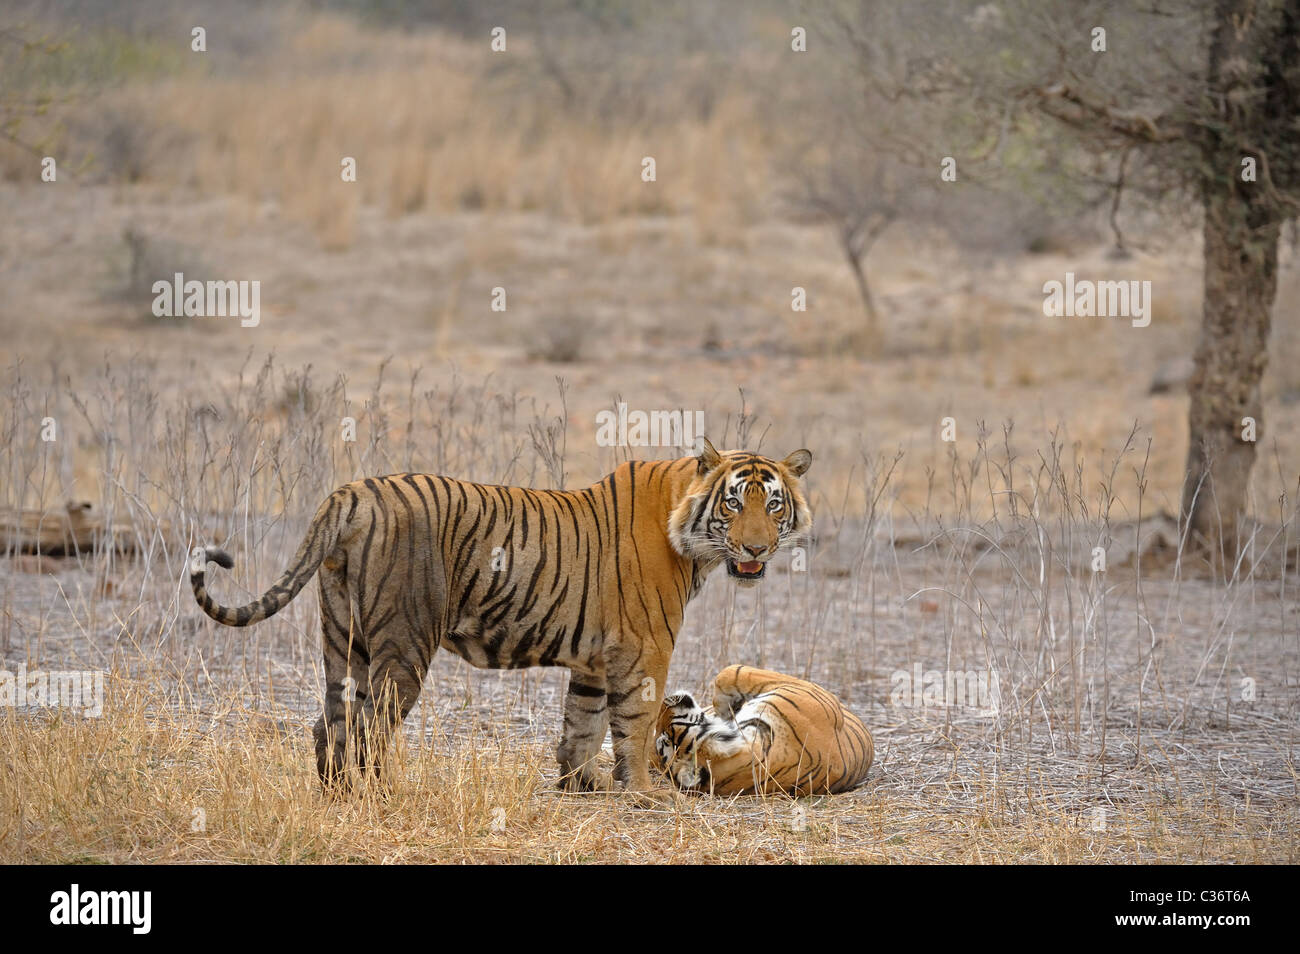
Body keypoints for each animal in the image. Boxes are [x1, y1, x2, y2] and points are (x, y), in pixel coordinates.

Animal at [189, 437, 812, 792]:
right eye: (733, 501)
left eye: (773, 503)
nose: (756, 549)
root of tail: (351, 491)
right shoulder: (644, 651)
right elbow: (633, 726)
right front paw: (641, 791)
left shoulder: (593, 660)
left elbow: (582, 724)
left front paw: (582, 784)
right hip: (404, 642)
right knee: (373, 725)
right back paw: (383, 793)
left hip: (343, 633)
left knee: (331, 720)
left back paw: (337, 794)